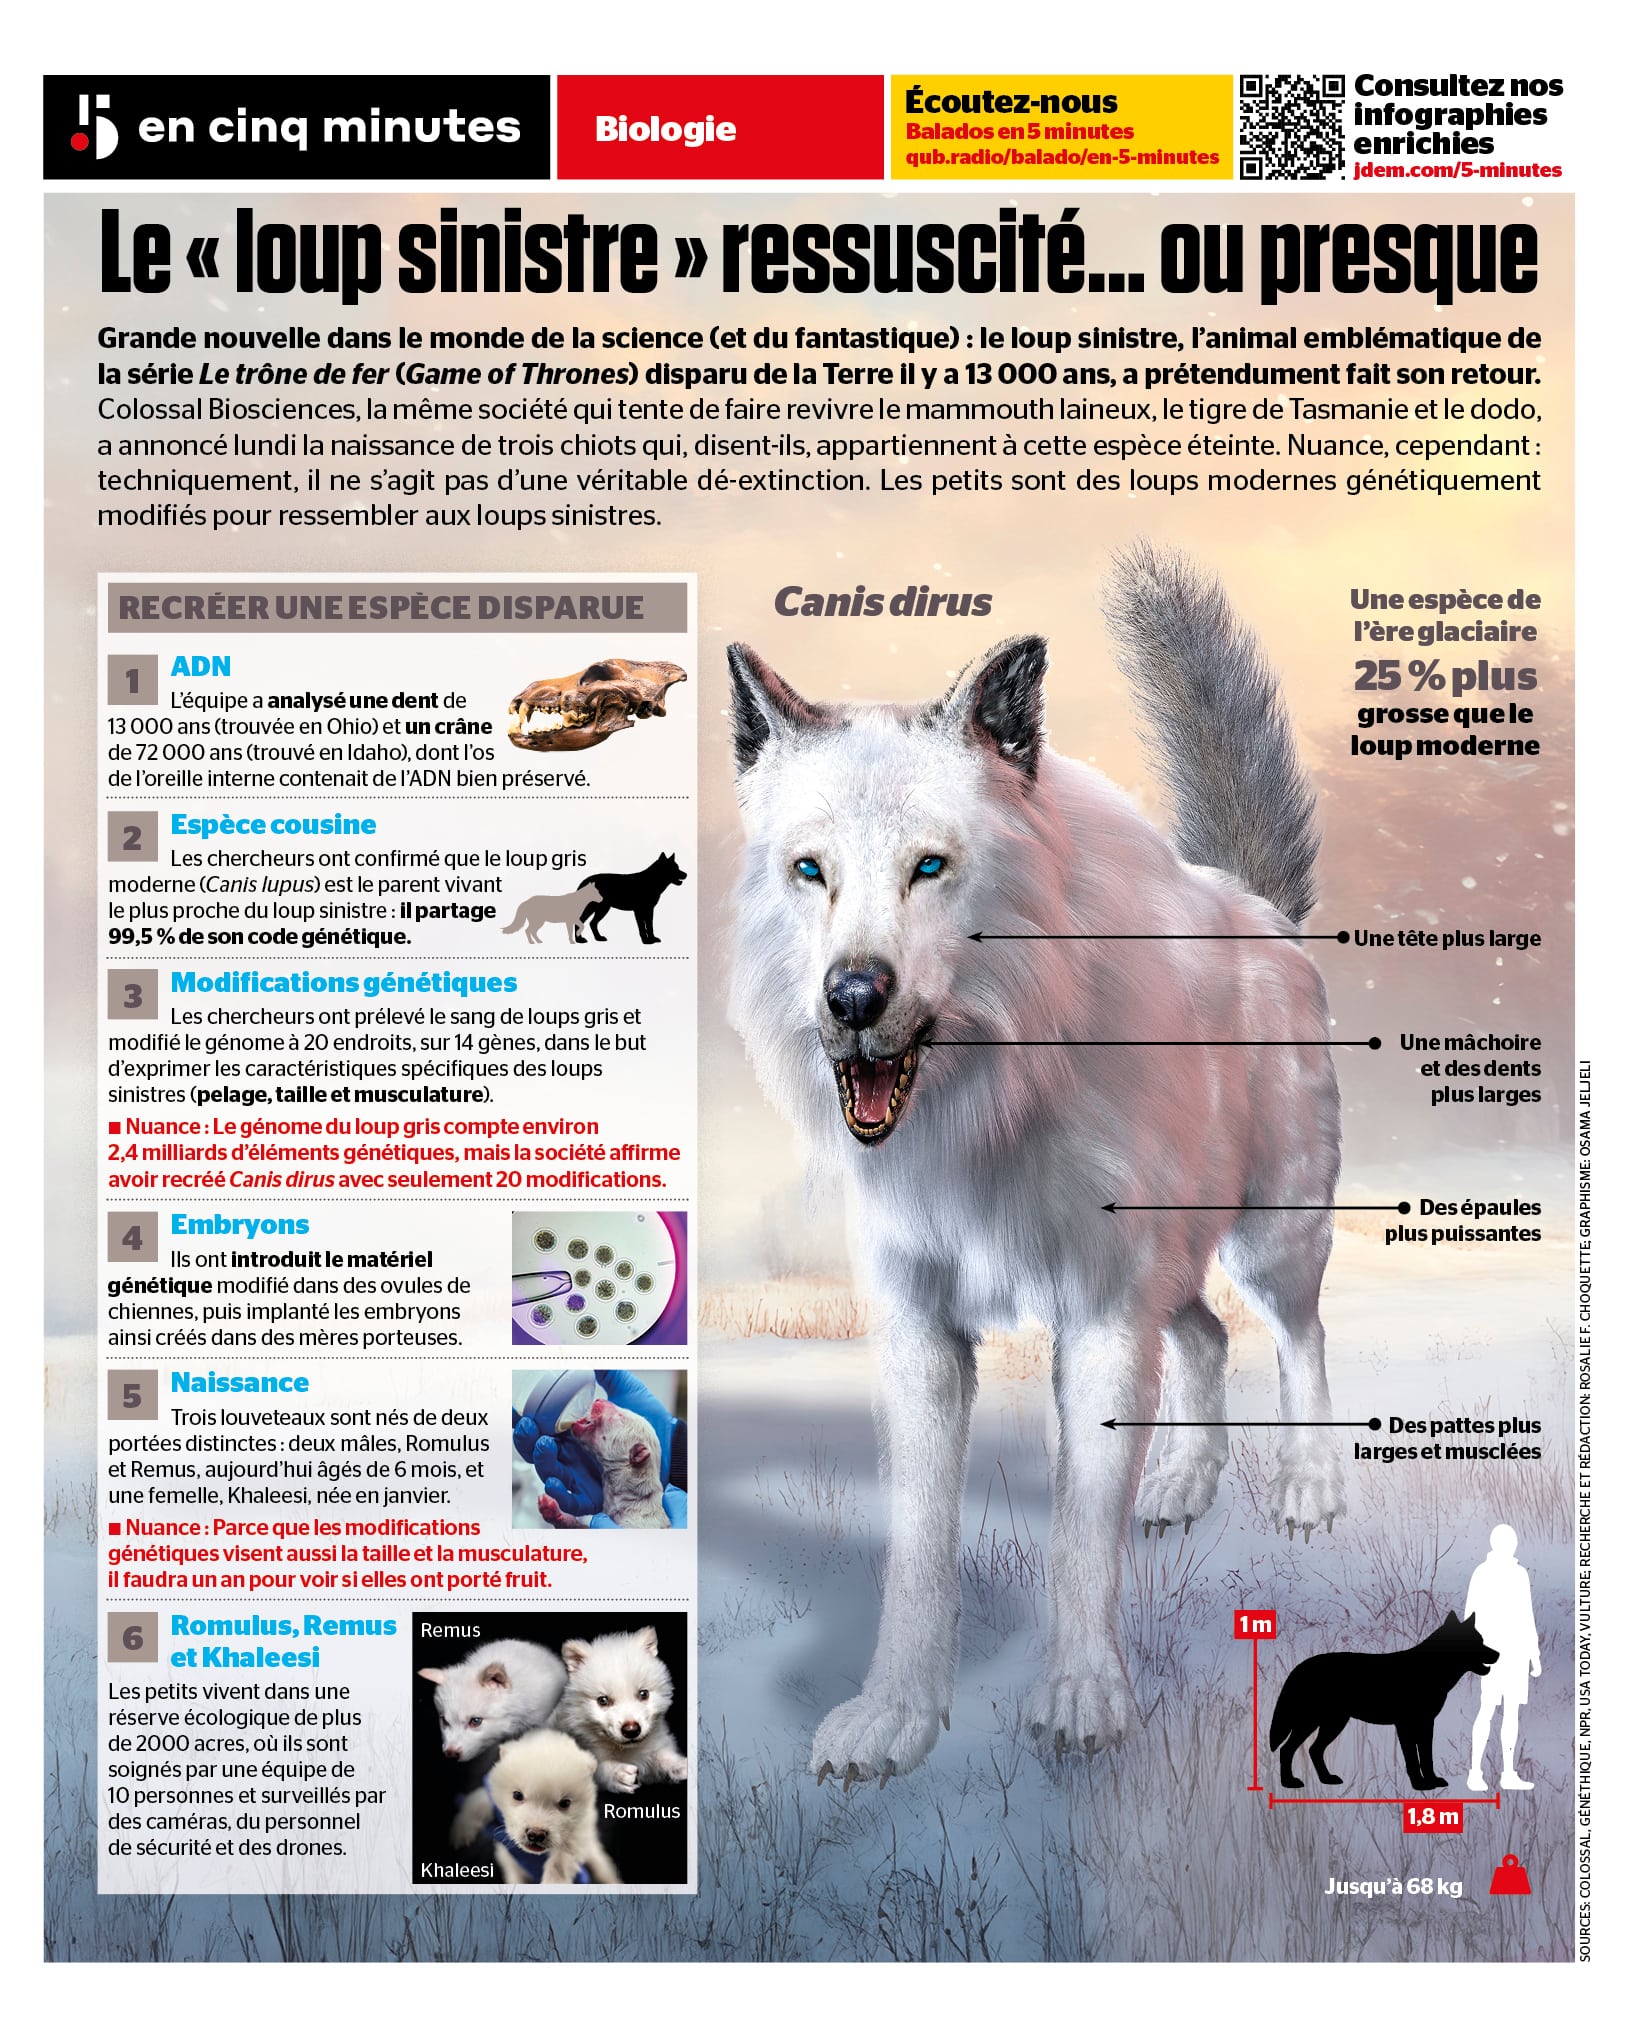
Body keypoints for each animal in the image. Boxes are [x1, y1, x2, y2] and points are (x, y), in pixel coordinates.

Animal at [726, 544, 1344, 1784]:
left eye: (930, 867)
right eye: (810, 870)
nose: (852, 997)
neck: (985, 1113)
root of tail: (1264, 916)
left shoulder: (1099, 1326)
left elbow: (1076, 1541)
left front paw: (1082, 1700)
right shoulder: (922, 1340)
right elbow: (918, 1548)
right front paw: (897, 1716)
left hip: (1270, 1240)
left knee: (1297, 1340)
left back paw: (1307, 1488)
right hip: (1174, 1269)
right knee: (1206, 1339)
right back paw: (1183, 1483)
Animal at [1270, 1612, 1499, 1792]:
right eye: (1476, 1642)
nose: (1497, 1654)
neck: (1429, 1668)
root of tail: (1300, 1667)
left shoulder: (1426, 1724)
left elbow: (1426, 1757)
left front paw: (1432, 1781)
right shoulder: (1405, 1725)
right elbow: (1412, 1759)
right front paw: (1420, 1785)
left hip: (1332, 1723)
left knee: (1313, 1750)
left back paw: (1327, 1779)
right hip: (1311, 1722)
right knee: (1287, 1749)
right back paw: (1289, 1783)